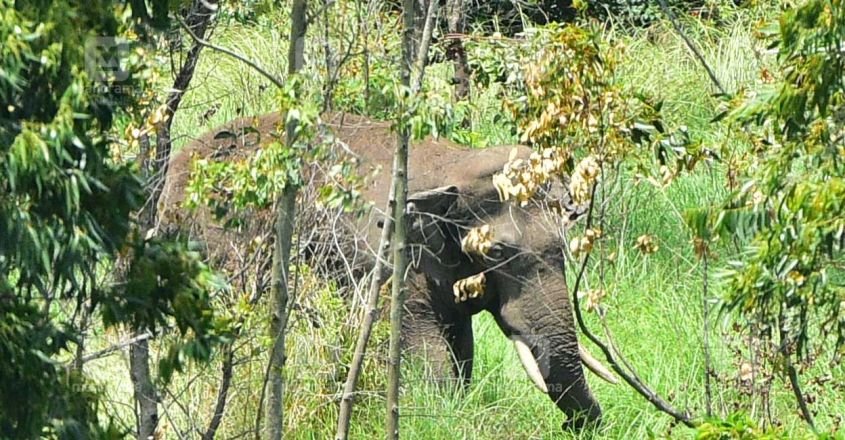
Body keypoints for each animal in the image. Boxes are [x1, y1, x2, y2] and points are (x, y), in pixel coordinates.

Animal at [158, 111, 616, 430]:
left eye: (564, 243)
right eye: (496, 251)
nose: (571, 427)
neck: (453, 162)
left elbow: (461, 349)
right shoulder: (398, 268)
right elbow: (430, 358)